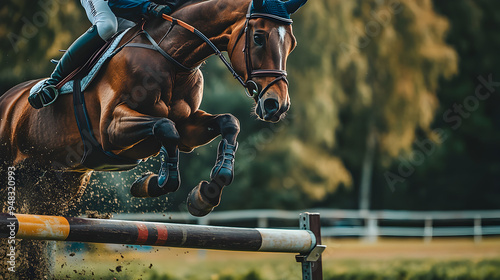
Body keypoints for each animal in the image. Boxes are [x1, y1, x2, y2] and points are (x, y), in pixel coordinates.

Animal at [0, 0, 304, 219]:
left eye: (292, 44)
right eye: (259, 38)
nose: (277, 105)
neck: (173, 58)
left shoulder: (188, 126)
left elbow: (228, 122)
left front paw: (207, 192)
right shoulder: (109, 130)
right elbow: (165, 128)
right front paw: (153, 182)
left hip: (60, 180)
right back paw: (46, 90)